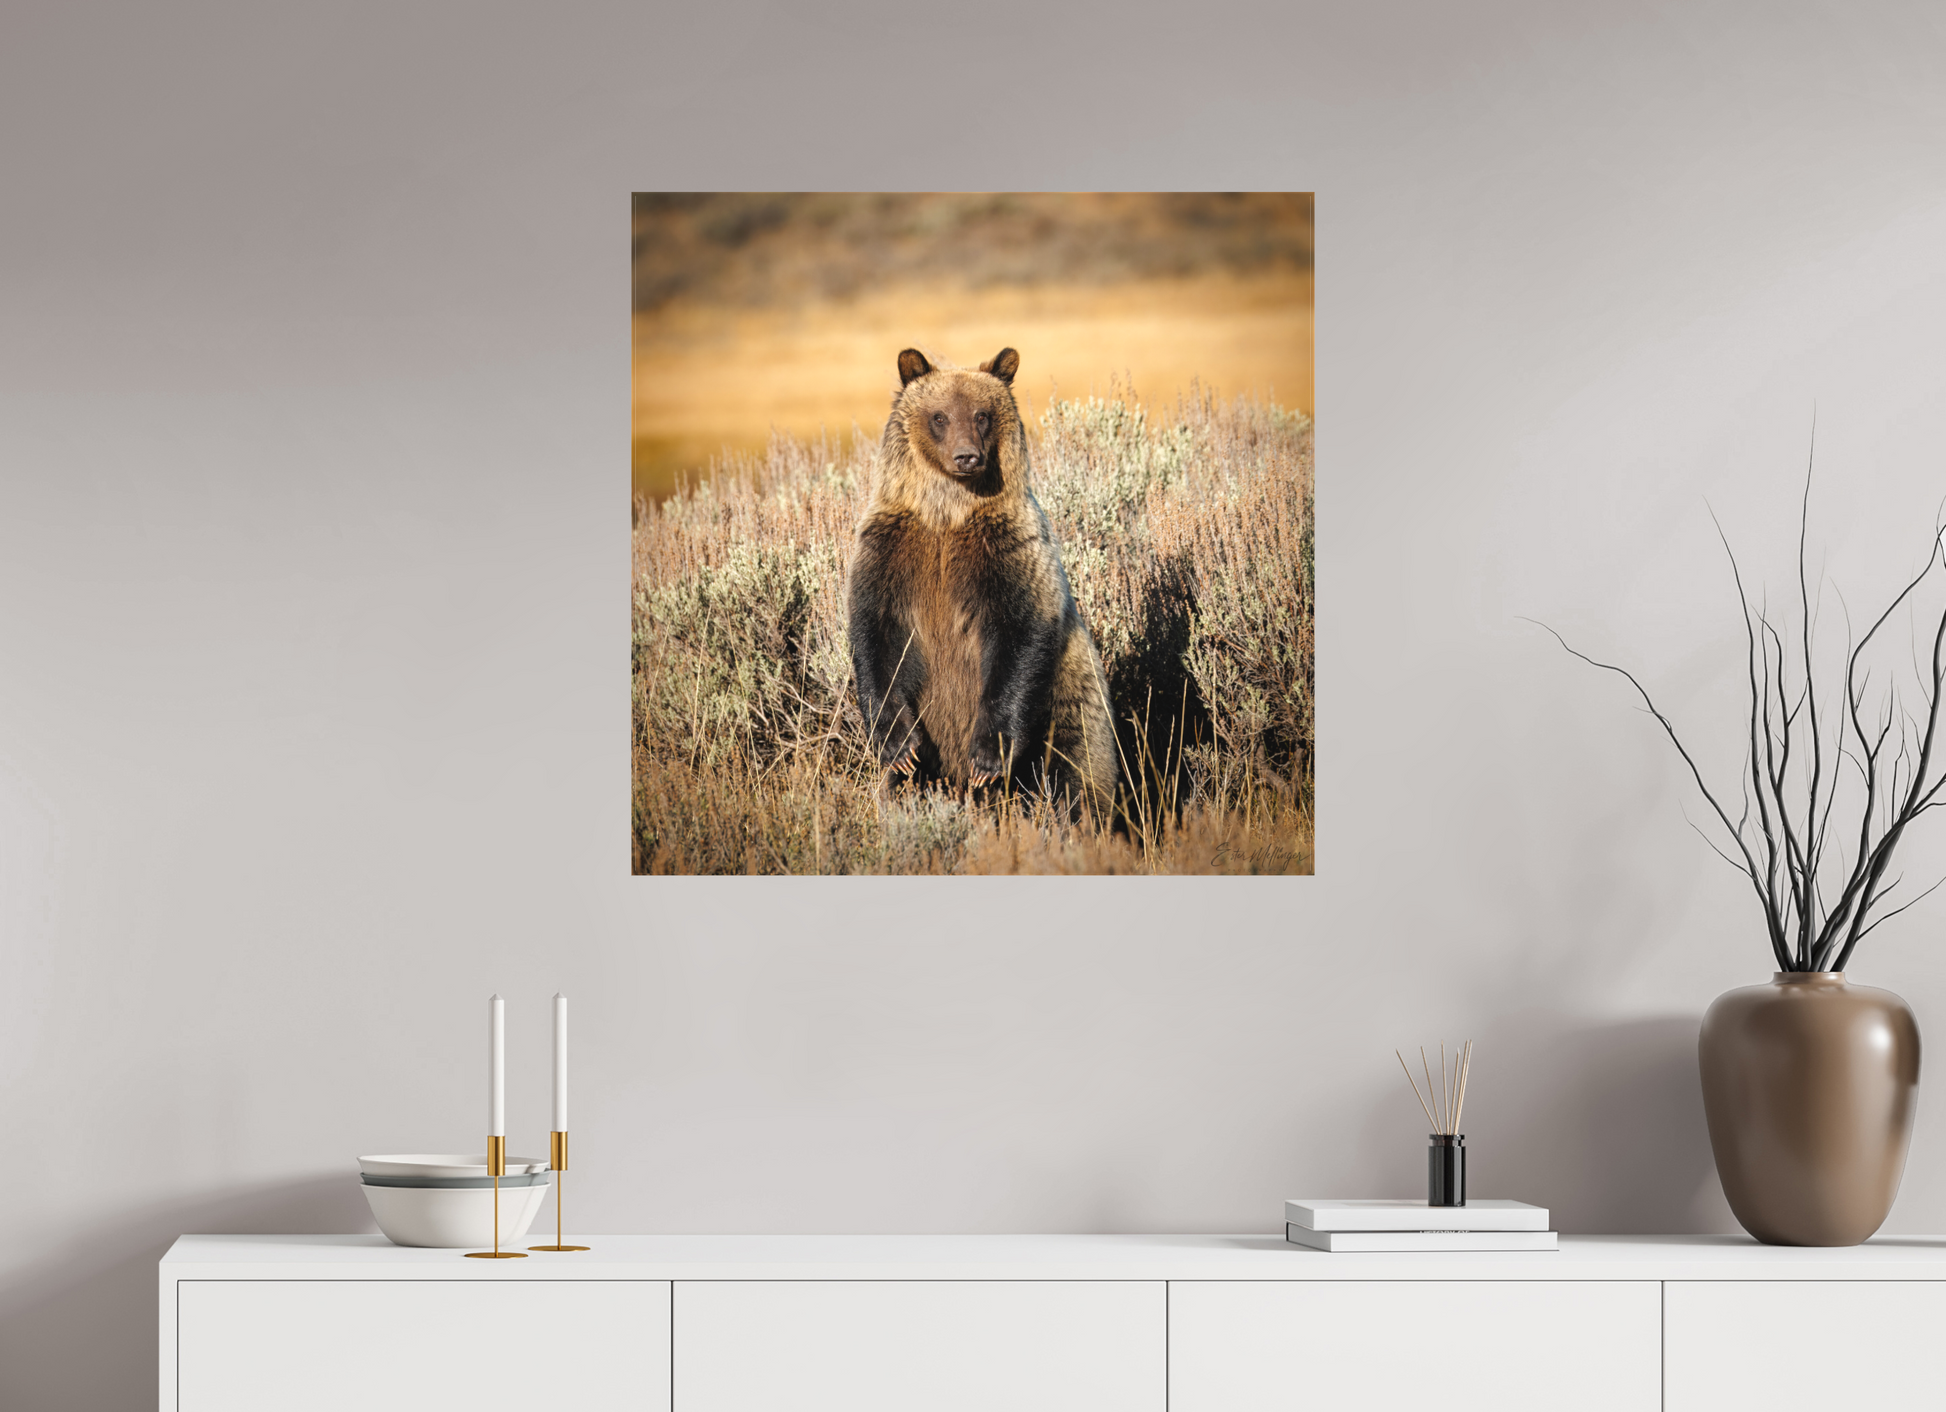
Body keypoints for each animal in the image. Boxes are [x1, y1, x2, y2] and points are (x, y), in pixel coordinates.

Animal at [847, 346, 1118, 814]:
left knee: (1075, 771)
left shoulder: (1007, 550)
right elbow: (876, 637)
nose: (967, 457)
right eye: (939, 416)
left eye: (982, 415)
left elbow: (1019, 635)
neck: (947, 514)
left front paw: (987, 757)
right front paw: (899, 747)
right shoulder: (891, 551)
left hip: (1073, 700)